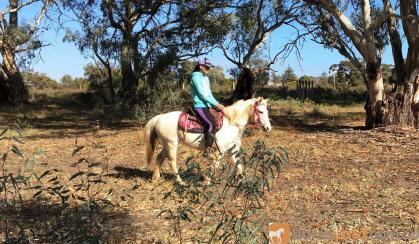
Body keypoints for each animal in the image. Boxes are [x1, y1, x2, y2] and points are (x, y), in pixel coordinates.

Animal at [143, 96, 272, 183]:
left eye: (266, 111)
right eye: (260, 111)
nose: (268, 128)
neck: (231, 123)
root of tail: (159, 117)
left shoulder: (232, 149)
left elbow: (238, 163)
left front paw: (244, 180)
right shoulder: (219, 151)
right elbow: (215, 166)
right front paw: (208, 181)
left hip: (166, 144)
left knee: (159, 158)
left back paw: (155, 178)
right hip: (171, 144)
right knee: (172, 162)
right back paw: (180, 181)